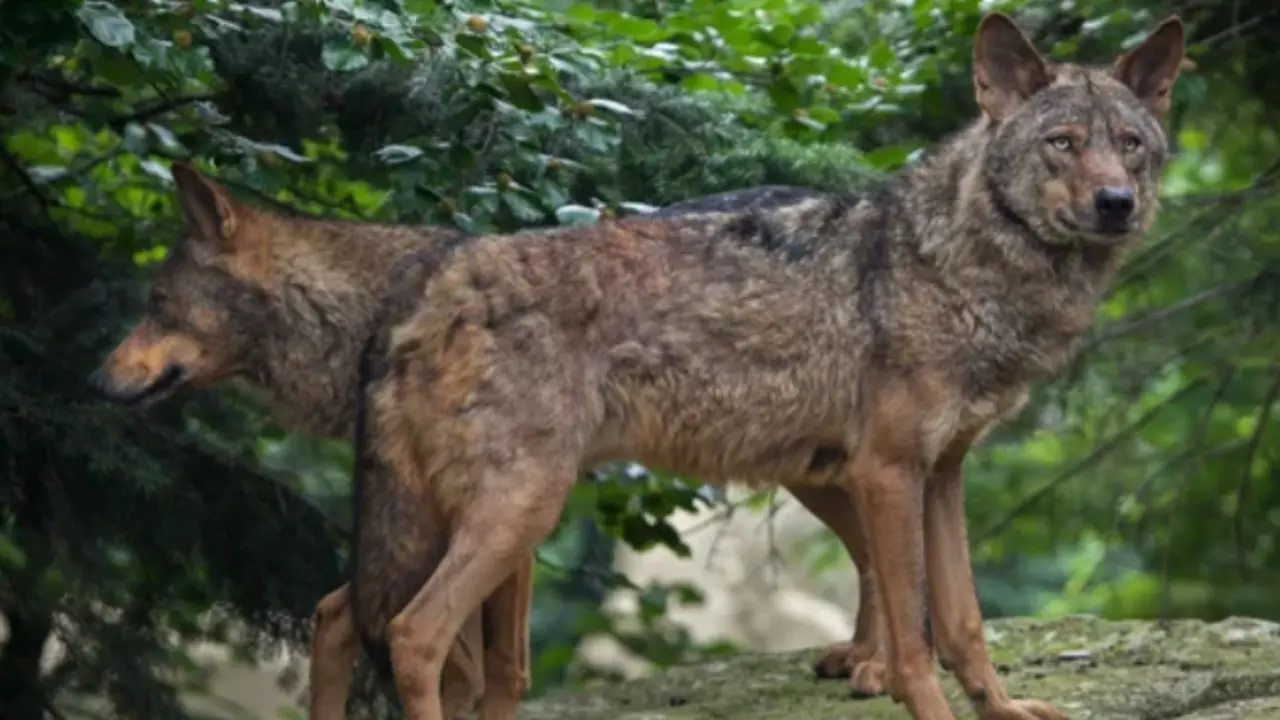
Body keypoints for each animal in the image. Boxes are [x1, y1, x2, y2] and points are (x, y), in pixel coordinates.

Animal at [310, 11, 1185, 720]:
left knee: (335, 613)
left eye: (1131, 147)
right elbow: (916, 642)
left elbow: (965, 623)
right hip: (518, 511)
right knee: (414, 634)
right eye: (1061, 144)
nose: (1117, 203)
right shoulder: (888, 472)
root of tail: (431, 278)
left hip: (447, 520)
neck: (953, 265)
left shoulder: (942, 476)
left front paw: (1001, 710)